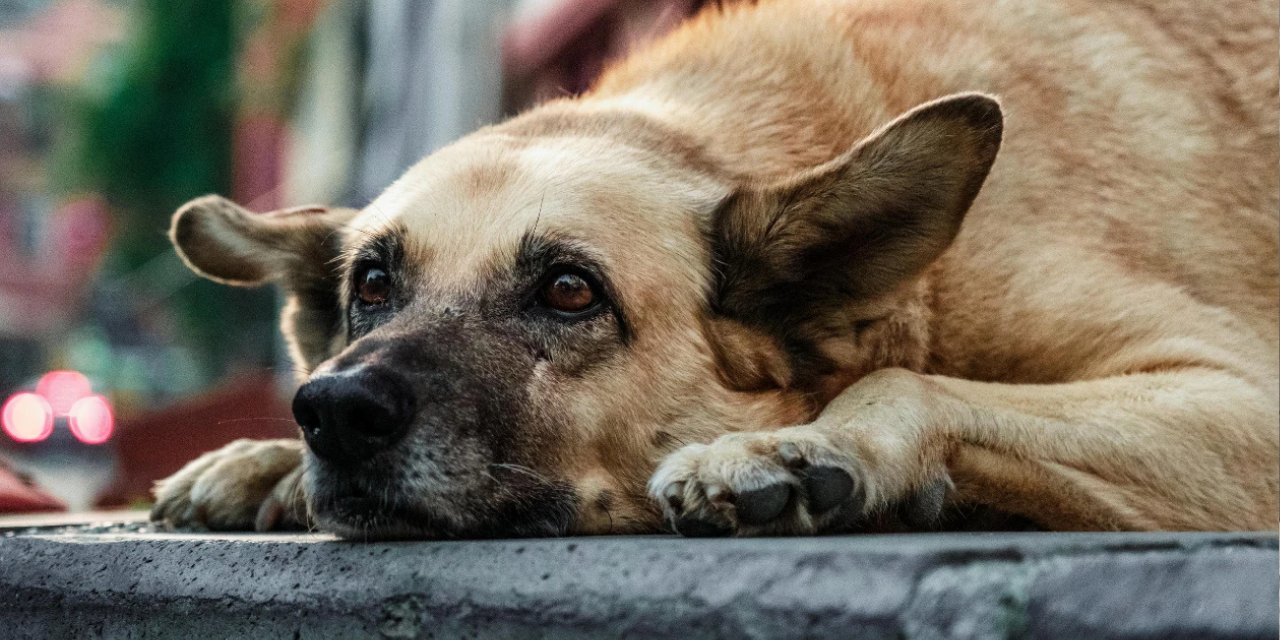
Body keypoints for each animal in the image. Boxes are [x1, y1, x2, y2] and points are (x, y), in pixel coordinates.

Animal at [152, 0, 1280, 540]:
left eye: (570, 290)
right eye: (371, 287)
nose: (333, 412)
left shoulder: (1242, 400)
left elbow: (906, 380)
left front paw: (799, 449)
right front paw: (265, 460)